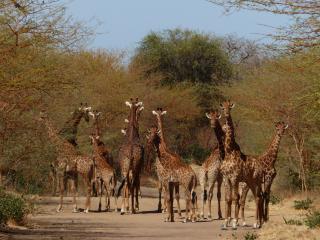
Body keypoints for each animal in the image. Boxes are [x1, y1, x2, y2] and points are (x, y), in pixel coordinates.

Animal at [221, 101, 264, 229]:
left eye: (230, 107)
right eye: (222, 108)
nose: (226, 114)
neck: (229, 152)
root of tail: (261, 167)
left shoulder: (234, 177)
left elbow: (235, 198)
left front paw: (234, 223)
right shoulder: (226, 177)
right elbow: (228, 198)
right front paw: (225, 224)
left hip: (256, 181)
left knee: (258, 198)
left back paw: (256, 224)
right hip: (249, 182)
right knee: (256, 197)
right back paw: (256, 223)